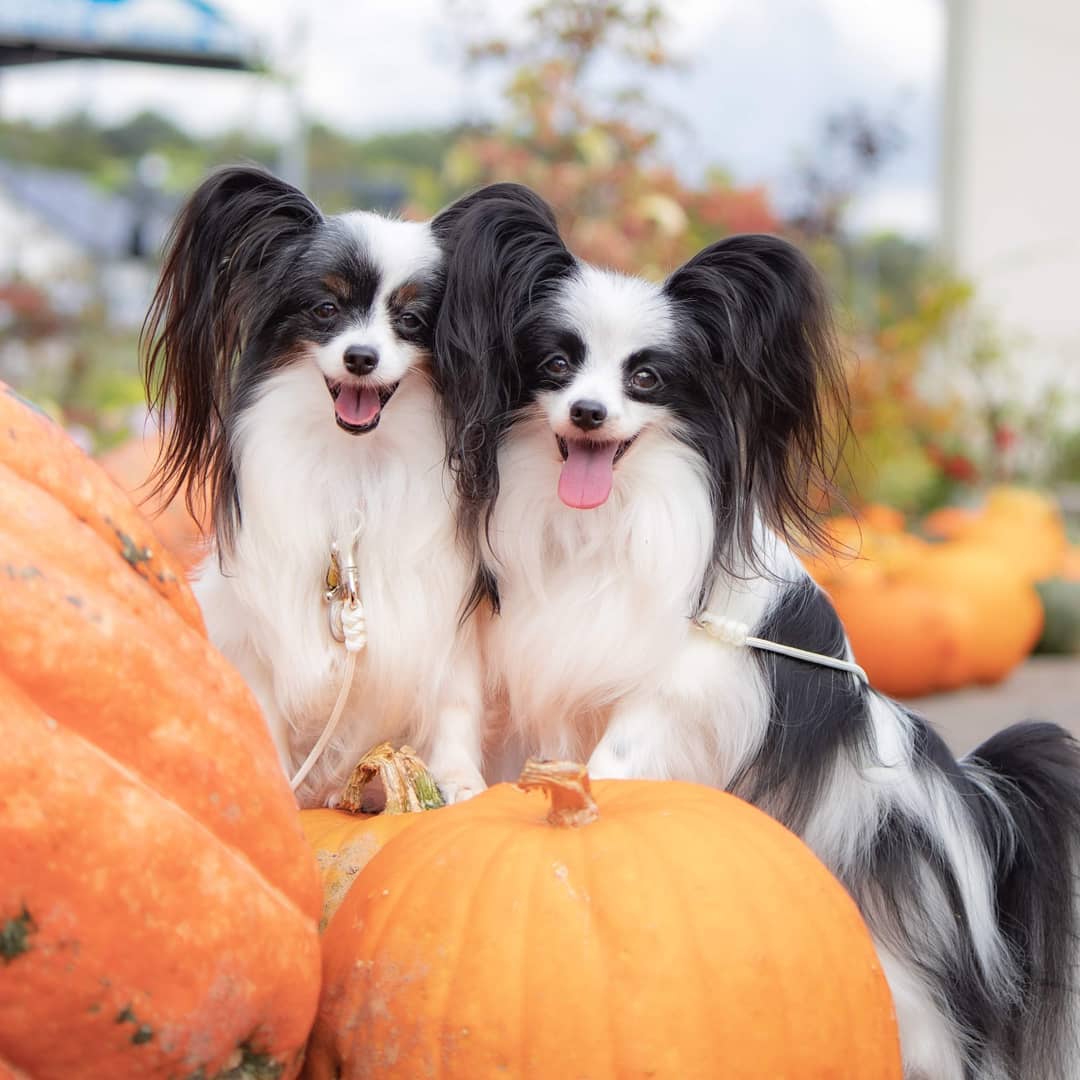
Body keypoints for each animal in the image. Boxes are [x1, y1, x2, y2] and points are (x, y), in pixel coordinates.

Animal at [141, 166, 488, 812]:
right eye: (326, 309)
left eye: (411, 321)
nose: (361, 357)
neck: (353, 459)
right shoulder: (256, 626)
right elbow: (261, 710)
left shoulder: (444, 612)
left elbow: (456, 698)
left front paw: (459, 780)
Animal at [432, 185, 1080, 1080]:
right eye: (556, 366)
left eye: (646, 377)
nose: (590, 413)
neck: (605, 523)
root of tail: (973, 805)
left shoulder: (680, 689)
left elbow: (617, 756)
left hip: (905, 989)